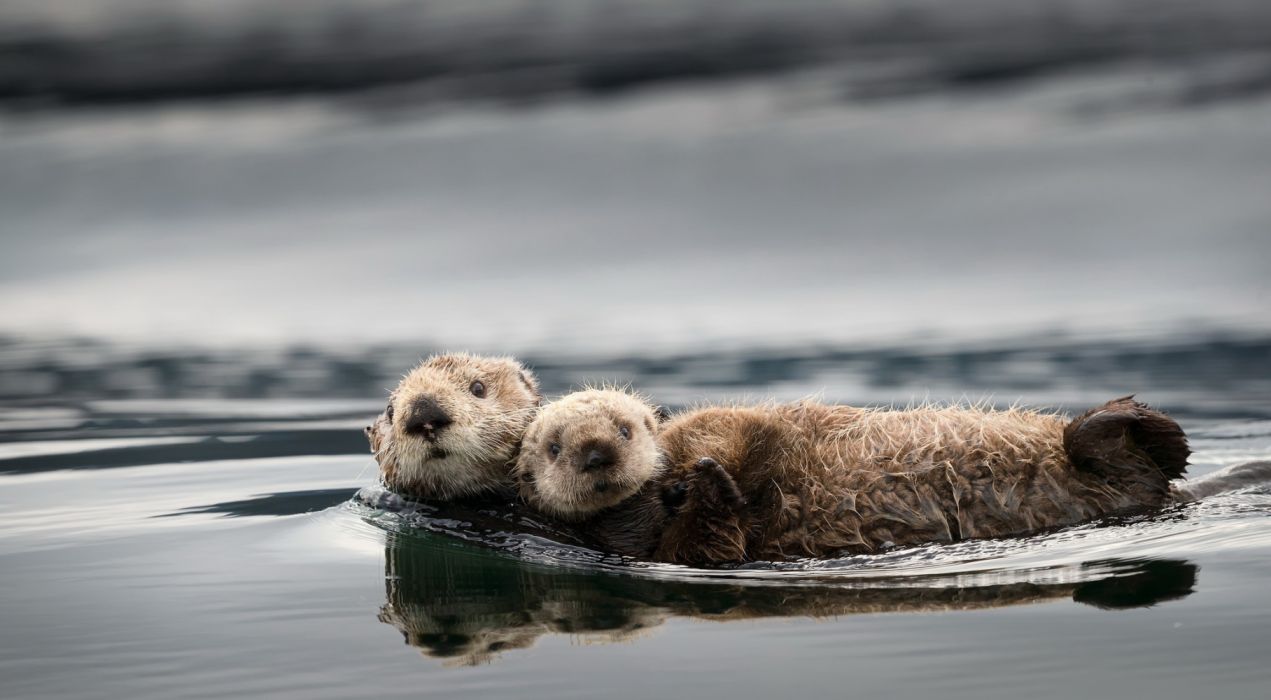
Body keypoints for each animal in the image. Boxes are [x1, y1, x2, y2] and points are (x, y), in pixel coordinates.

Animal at [513, 389, 1190, 565]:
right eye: (554, 447)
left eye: (625, 428)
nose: (597, 453)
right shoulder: (663, 550)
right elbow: (712, 542)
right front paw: (713, 489)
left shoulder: (720, 426)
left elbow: (730, 429)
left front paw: (706, 473)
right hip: (1122, 481)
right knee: (1134, 471)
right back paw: (1130, 427)